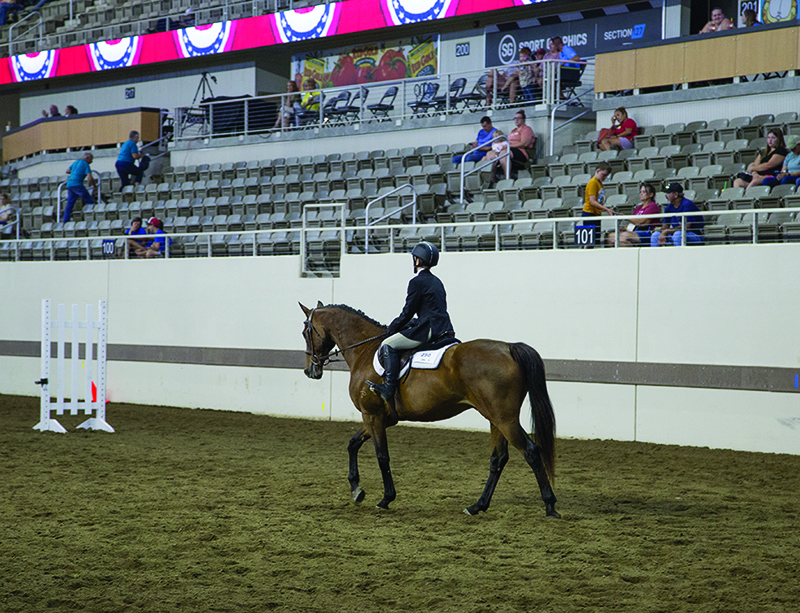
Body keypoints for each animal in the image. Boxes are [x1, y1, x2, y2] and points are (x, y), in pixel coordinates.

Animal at [296, 302, 560, 516]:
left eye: (305, 332)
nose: (310, 370)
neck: (365, 350)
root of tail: (509, 348)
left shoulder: (373, 415)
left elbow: (382, 456)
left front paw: (385, 499)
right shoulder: (379, 417)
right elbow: (353, 443)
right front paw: (356, 490)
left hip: (505, 419)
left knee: (531, 451)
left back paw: (550, 506)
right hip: (496, 419)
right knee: (499, 458)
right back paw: (477, 506)